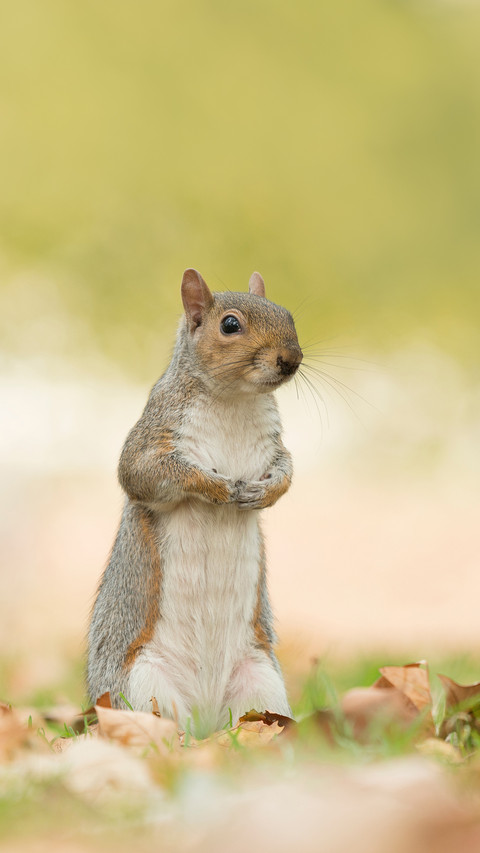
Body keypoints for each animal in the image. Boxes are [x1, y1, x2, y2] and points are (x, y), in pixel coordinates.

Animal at [87, 268, 303, 736]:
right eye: (230, 325)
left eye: (289, 315)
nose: (291, 359)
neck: (234, 399)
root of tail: (206, 718)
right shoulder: (156, 434)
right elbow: (142, 472)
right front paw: (215, 487)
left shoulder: (274, 447)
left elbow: (286, 470)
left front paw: (265, 492)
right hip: (141, 684)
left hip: (261, 680)